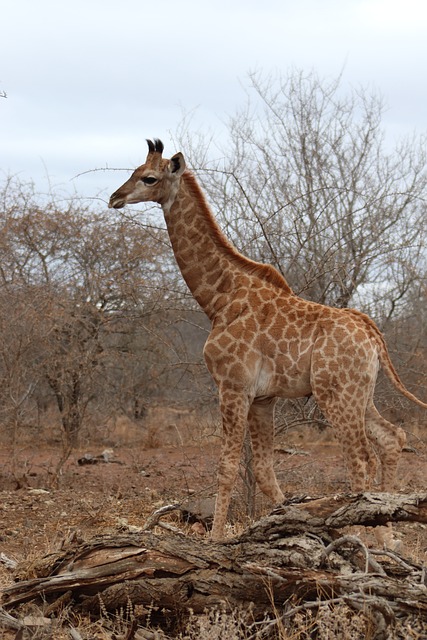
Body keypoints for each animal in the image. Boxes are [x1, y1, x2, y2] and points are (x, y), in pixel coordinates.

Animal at [108, 140, 426, 540]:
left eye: (148, 178)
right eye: (134, 171)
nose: (115, 198)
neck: (219, 298)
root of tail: (372, 333)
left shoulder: (232, 386)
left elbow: (228, 466)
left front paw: (216, 539)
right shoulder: (263, 397)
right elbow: (262, 470)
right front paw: (293, 524)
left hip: (336, 394)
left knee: (360, 456)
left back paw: (364, 533)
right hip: (360, 392)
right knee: (391, 438)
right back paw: (386, 539)